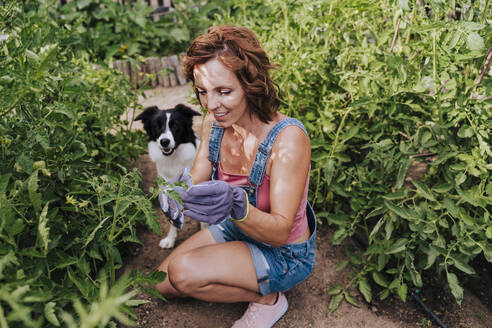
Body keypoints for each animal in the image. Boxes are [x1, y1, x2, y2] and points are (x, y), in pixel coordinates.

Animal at [135, 104, 202, 247]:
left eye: (175, 125)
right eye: (157, 126)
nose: (164, 141)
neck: (173, 160)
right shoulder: (170, 193)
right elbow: (173, 218)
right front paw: (170, 239)